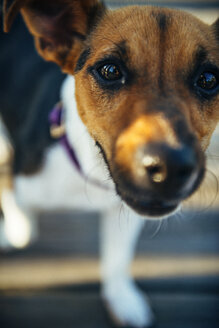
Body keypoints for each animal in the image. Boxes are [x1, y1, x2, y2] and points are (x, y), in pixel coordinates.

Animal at [0, 1, 219, 326]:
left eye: (208, 79)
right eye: (110, 70)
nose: (170, 168)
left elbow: (117, 259)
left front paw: (121, 299)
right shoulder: (19, 180)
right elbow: (23, 230)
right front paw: (7, 233)